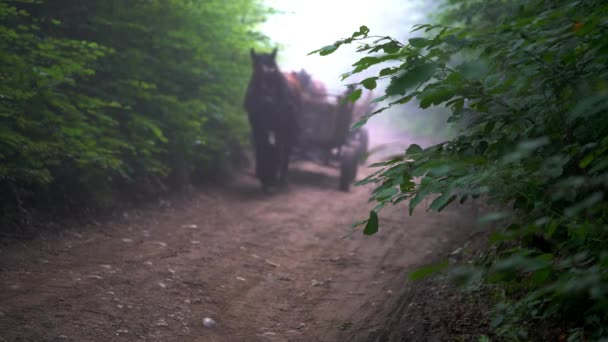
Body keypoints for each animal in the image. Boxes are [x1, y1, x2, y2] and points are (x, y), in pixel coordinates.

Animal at [242, 47, 300, 190]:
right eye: (256, 74)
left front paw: (272, 177)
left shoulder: (280, 127)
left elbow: (278, 148)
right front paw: (263, 176)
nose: (266, 101)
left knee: (287, 150)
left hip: (289, 129)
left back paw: (282, 178)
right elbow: (260, 146)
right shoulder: (256, 125)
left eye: (274, 74)